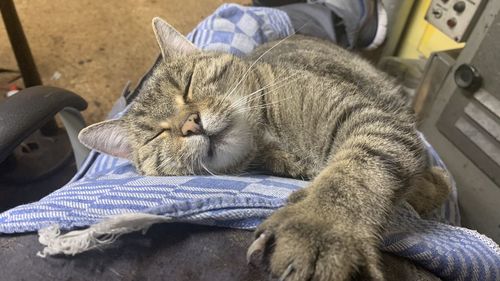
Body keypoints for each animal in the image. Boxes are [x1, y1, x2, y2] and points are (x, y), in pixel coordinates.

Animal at [78, 17, 450, 280]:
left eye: (188, 85)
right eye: (157, 135)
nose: (190, 124)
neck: (269, 136)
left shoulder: (369, 117)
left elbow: (355, 172)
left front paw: (322, 225)